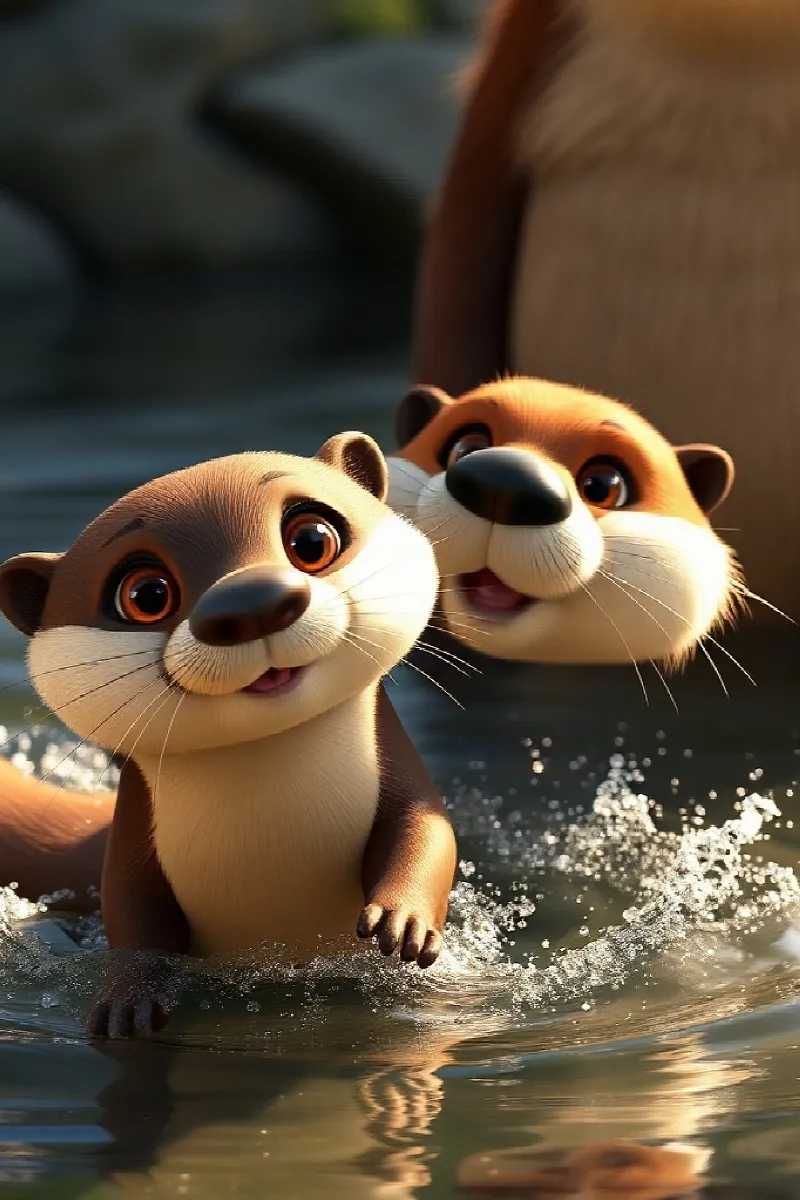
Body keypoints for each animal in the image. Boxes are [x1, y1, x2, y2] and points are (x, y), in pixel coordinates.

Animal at [0, 433, 456, 1037]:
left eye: (312, 539)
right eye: (146, 595)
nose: (253, 603)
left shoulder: (403, 781)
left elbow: (427, 833)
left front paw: (402, 920)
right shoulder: (133, 847)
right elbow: (132, 910)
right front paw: (128, 1001)